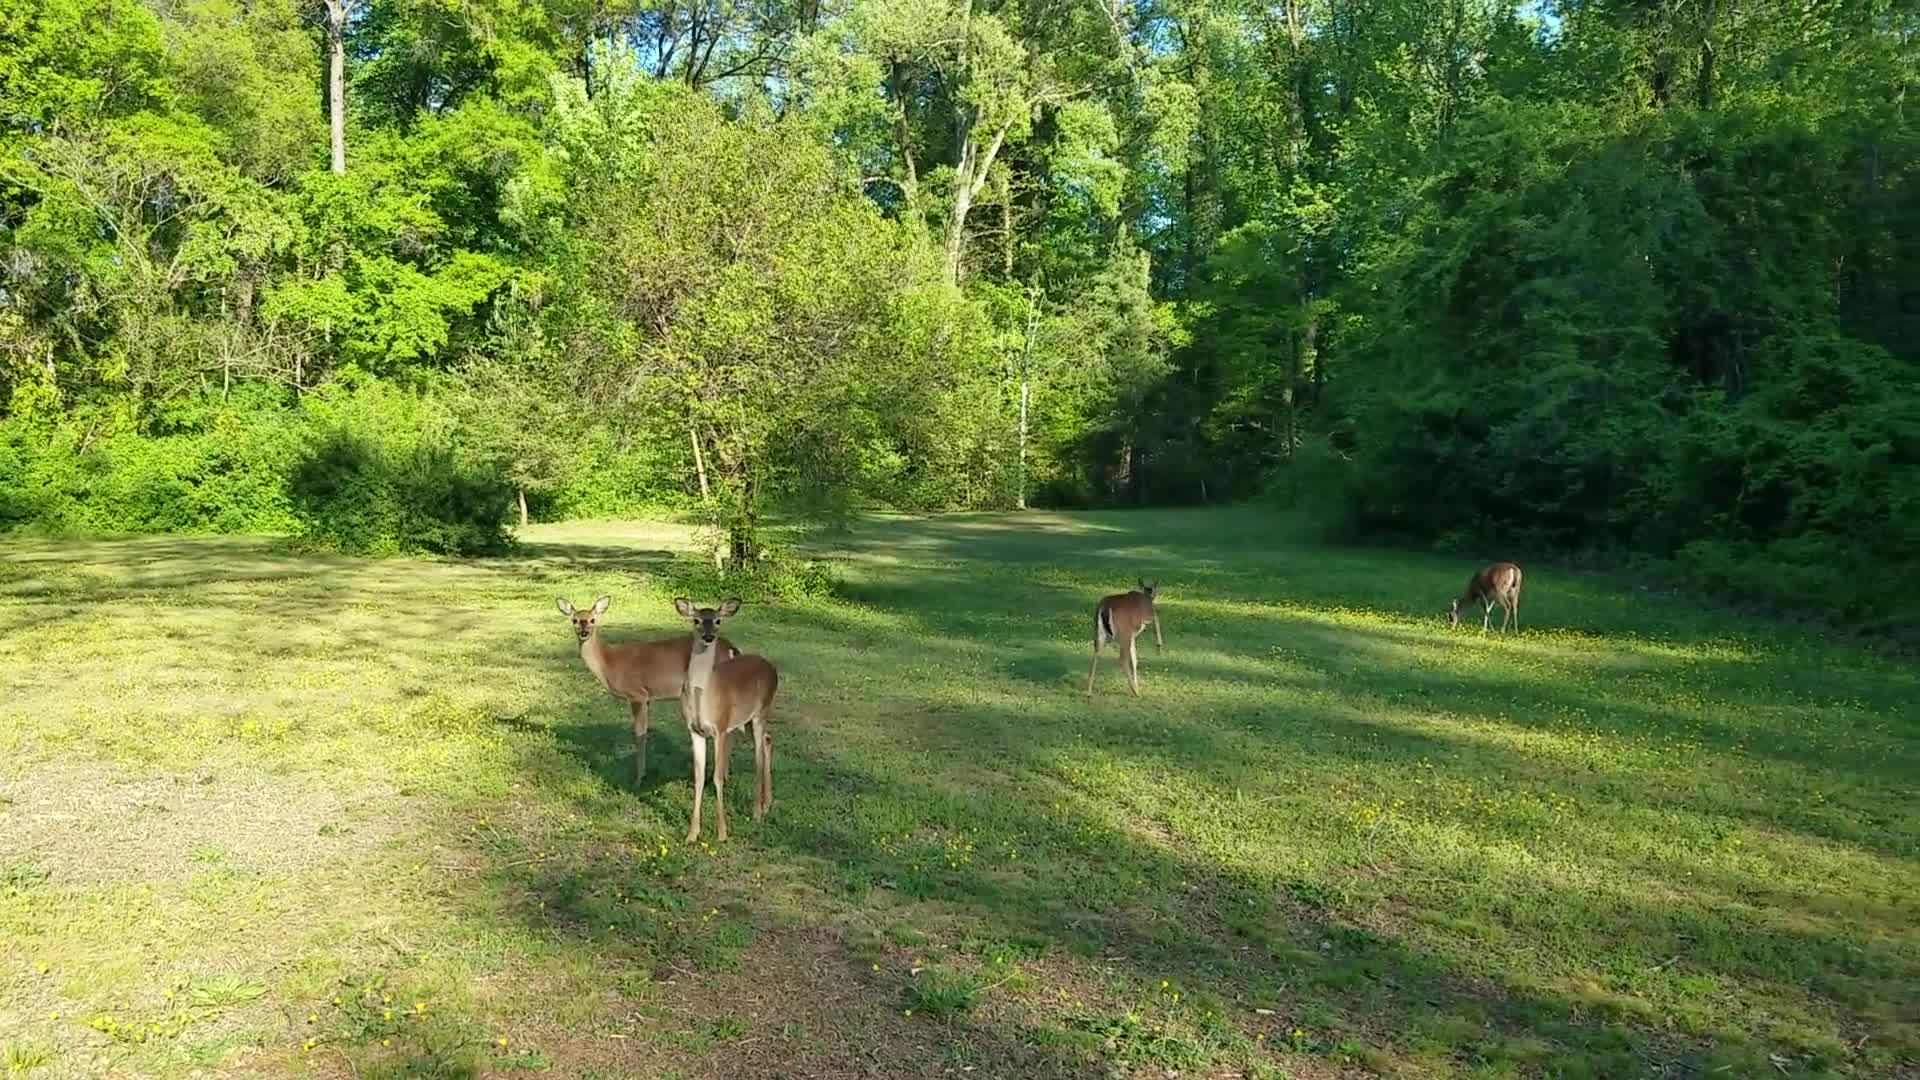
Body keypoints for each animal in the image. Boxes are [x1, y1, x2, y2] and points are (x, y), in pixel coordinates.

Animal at [554, 595, 737, 786]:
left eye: (592, 620)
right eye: (575, 620)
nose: (584, 632)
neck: (608, 663)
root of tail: (732, 649)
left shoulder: (637, 694)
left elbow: (639, 735)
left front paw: (638, 778)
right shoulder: (648, 697)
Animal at [672, 597, 778, 844]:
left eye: (718, 620)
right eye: (696, 620)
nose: (708, 636)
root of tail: (771, 667)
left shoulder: (720, 728)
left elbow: (718, 777)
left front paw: (721, 832)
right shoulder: (695, 731)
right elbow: (699, 777)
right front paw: (692, 834)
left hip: (761, 712)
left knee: (758, 755)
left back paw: (757, 812)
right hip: (744, 721)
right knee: (768, 741)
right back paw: (767, 804)